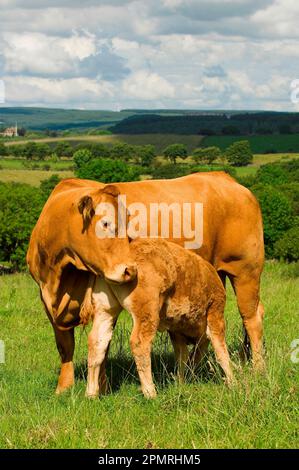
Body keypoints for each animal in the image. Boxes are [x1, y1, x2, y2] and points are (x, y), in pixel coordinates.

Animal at [86, 239, 234, 396]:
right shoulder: (215, 313)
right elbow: (221, 352)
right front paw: (233, 383)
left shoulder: (176, 331)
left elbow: (183, 357)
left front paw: (180, 383)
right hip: (148, 312)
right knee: (139, 343)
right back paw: (150, 392)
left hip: (105, 310)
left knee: (97, 341)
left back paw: (91, 393)